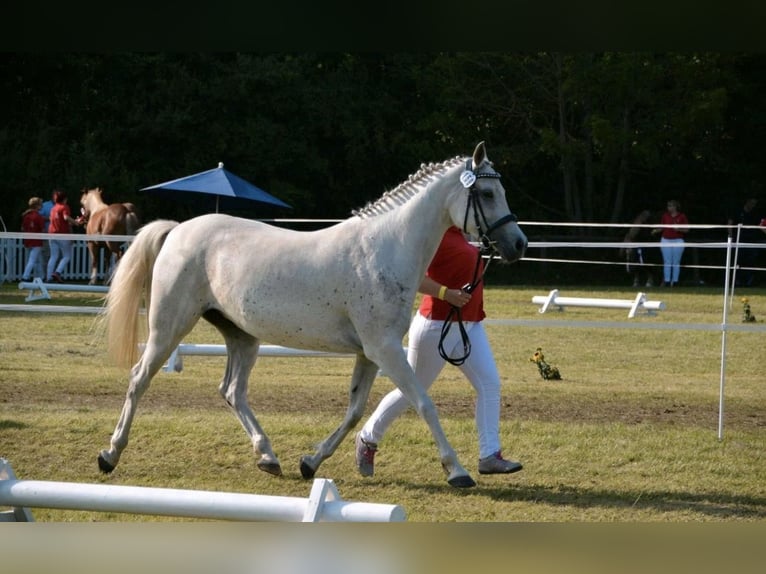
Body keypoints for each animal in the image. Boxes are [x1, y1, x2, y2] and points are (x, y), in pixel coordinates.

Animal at [96, 141, 528, 488]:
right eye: (486, 192)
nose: (518, 244)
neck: (384, 248)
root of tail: (178, 231)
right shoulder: (385, 350)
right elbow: (422, 403)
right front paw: (457, 471)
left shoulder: (370, 354)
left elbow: (355, 411)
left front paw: (310, 462)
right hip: (168, 327)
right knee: (139, 378)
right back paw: (110, 454)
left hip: (242, 336)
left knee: (233, 391)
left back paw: (268, 457)